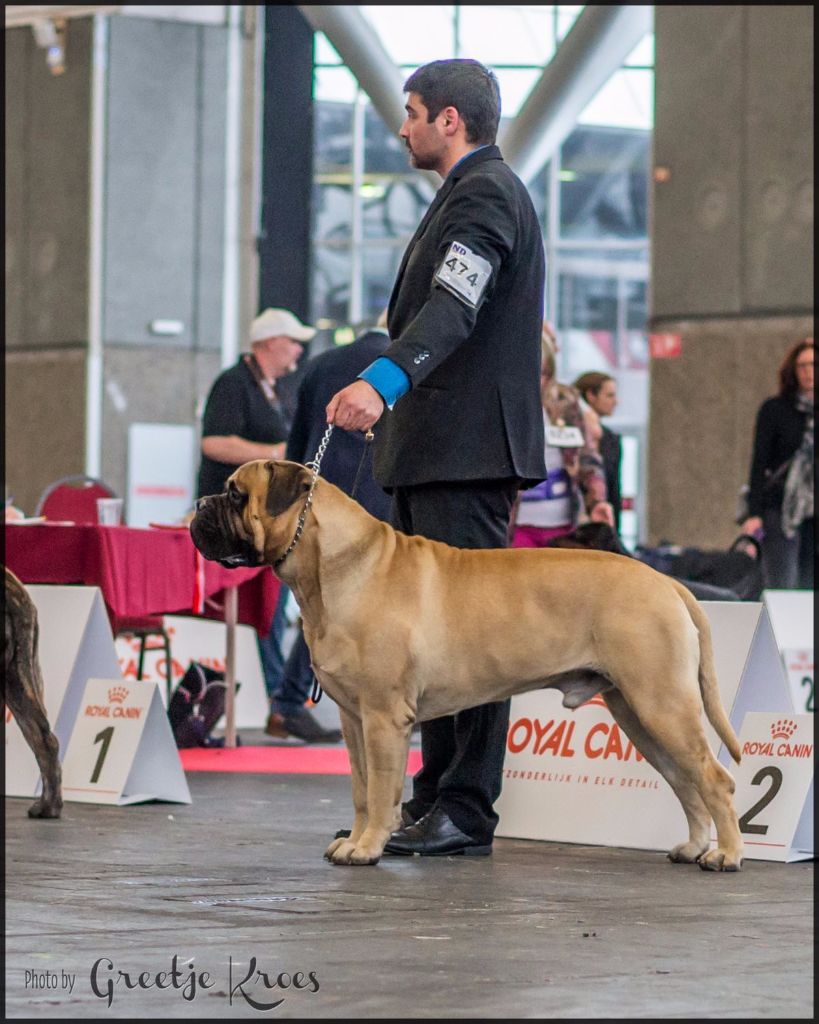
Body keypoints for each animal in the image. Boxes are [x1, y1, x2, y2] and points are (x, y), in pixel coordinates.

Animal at [192, 464, 741, 872]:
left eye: (235, 494)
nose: (198, 505)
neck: (337, 565)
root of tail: (666, 583)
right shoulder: (353, 719)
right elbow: (361, 790)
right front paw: (354, 839)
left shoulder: (383, 719)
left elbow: (383, 789)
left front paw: (368, 847)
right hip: (639, 713)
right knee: (686, 781)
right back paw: (694, 846)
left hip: (662, 705)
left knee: (715, 780)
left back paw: (727, 855)